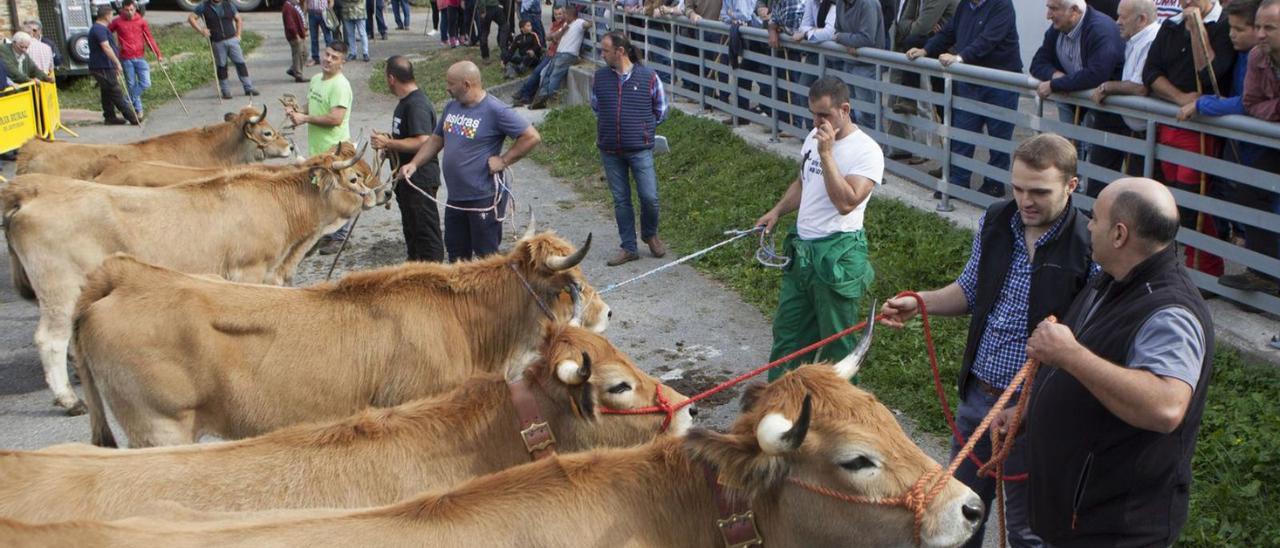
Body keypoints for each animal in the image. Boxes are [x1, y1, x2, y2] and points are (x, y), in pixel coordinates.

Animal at [2, 147, 381, 412]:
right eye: (354, 179)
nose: (378, 195)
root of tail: (30, 193)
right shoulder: (249, 269)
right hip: (60, 288)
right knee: (49, 339)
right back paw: (69, 400)